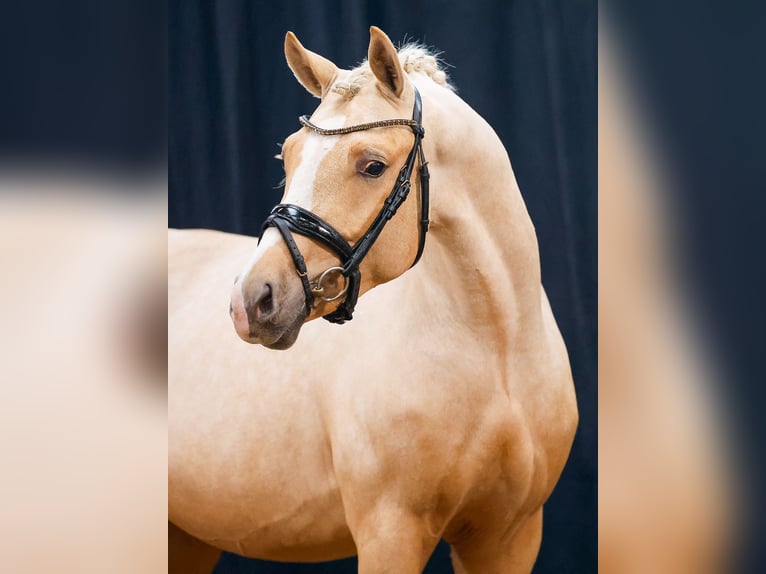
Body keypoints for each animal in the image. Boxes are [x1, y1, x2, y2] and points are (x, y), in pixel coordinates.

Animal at [168, 28, 576, 574]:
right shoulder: (391, 532)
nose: (250, 300)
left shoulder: (509, 537)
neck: (498, 352)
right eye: (288, 156)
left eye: (373, 166)